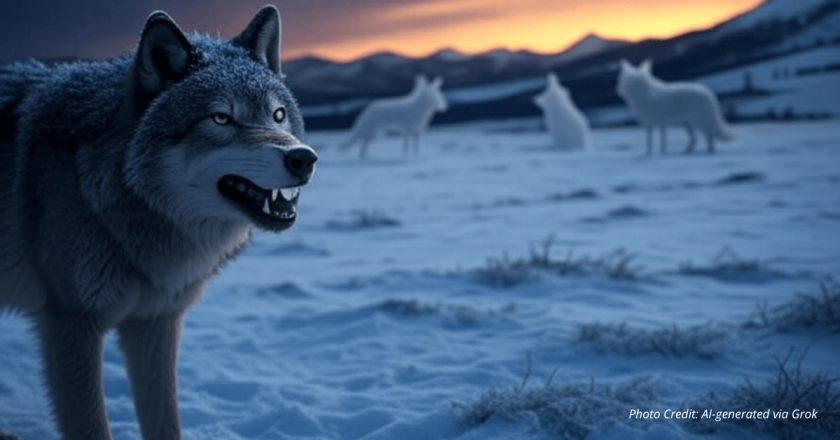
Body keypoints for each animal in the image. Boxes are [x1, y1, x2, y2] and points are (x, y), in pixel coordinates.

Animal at [0, 6, 316, 440]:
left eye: (278, 115)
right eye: (221, 118)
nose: (304, 159)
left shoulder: (155, 323)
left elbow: (165, 421)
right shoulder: (70, 326)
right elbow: (92, 426)